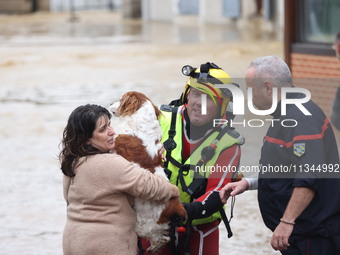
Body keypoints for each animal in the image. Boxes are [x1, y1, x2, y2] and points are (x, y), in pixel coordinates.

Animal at [110, 91, 187, 253]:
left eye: (120, 99)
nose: (110, 104)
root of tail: (176, 207)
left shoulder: (115, 143)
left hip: (141, 225)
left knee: (161, 238)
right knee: (164, 238)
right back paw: (153, 249)